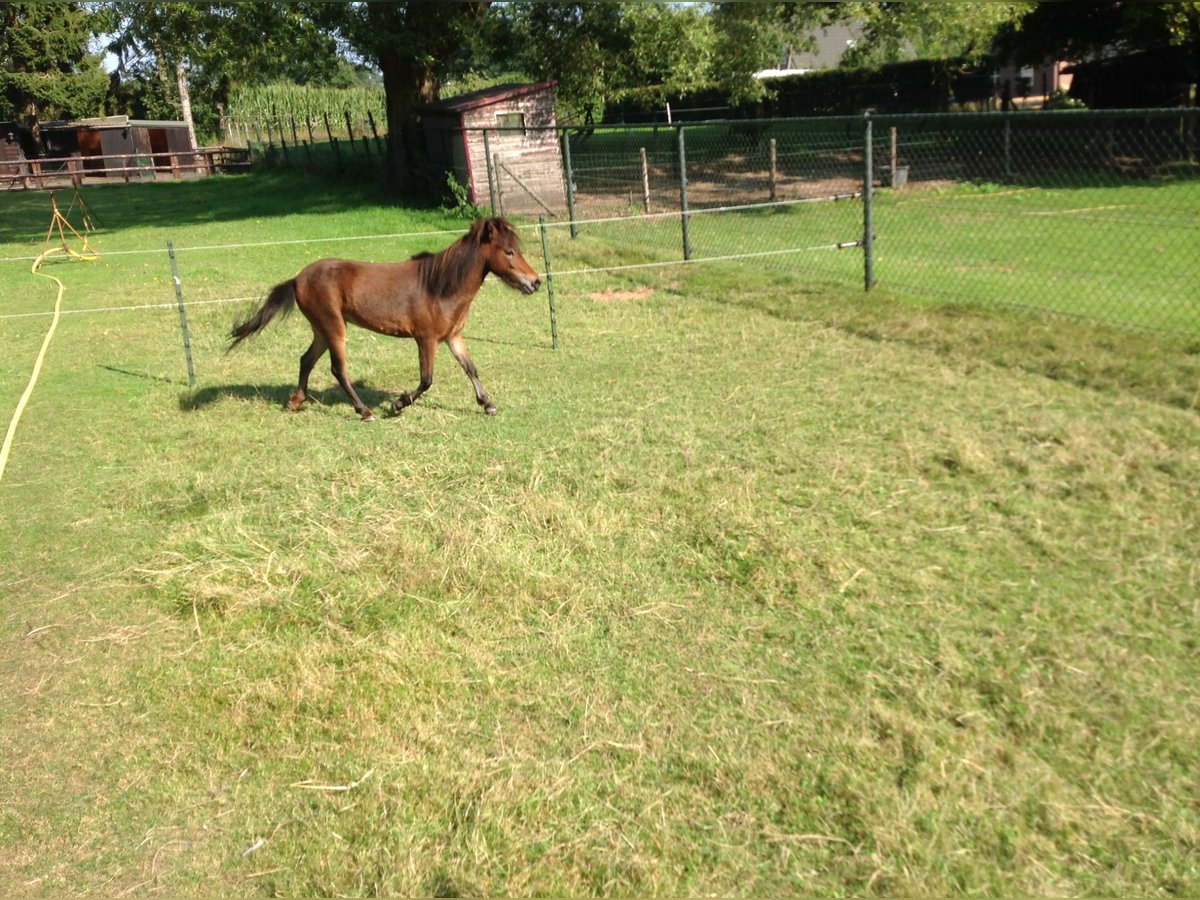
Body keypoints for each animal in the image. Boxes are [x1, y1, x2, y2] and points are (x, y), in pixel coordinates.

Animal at [227, 217, 541, 421]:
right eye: (509, 252)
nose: (535, 282)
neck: (439, 286)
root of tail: (296, 279)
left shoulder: (453, 337)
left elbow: (471, 369)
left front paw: (488, 404)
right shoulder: (426, 340)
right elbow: (426, 380)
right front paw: (397, 404)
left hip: (321, 330)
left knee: (306, 360)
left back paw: (295, 402)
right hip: (333, 328)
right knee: (338, 369)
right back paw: (365, 412)